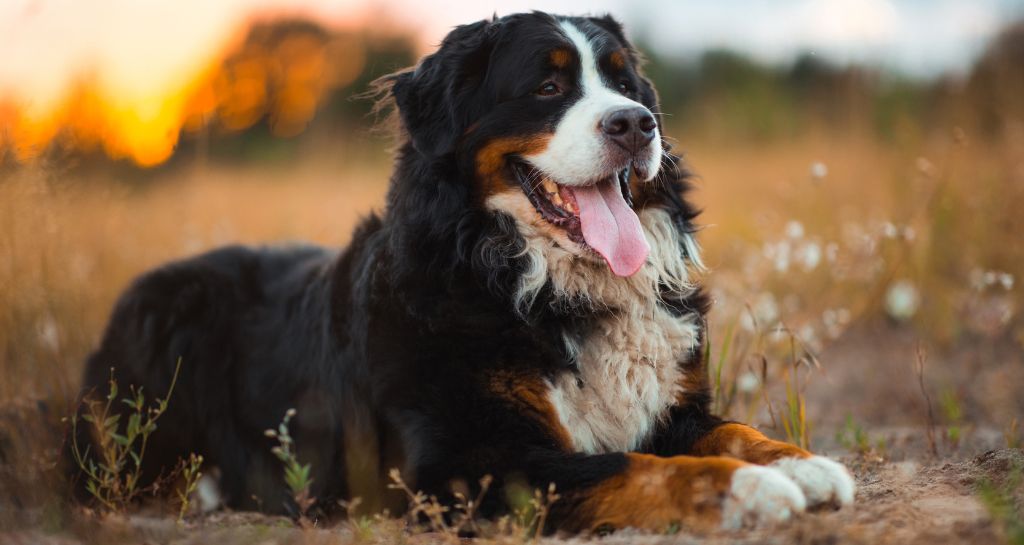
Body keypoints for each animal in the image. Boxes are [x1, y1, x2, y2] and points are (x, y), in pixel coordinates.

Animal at [71, 12, 854, 532]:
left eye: (626, 83)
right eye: (547, 87)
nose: (636, 123)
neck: (544, 286)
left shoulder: (672, 405)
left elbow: (734, 429)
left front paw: (800, 463)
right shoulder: (464, 461)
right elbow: (636, 467)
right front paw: (746, 491)